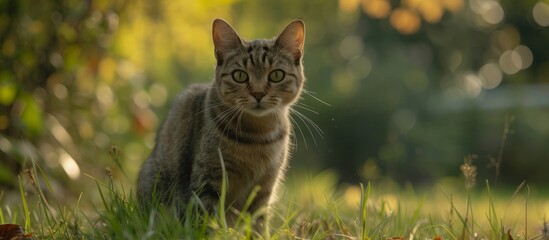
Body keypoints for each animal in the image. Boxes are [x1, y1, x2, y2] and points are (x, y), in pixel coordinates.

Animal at [135, 18, 306, 225]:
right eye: (240, 75)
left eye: (276, 75)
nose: (258, 93)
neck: (258, 137)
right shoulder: (207, 183)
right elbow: (208, 221)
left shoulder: (264, 189)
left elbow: (257, 224)